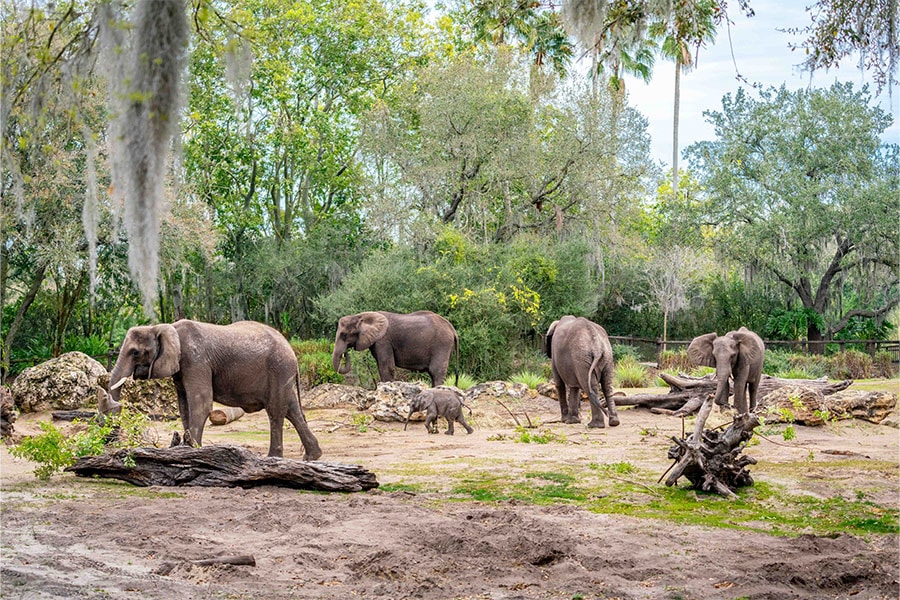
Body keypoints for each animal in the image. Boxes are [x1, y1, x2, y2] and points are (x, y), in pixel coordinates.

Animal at [105, 318, 324, 460]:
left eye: (135, 352)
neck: (163, 327)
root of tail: (292, 351)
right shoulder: (182, 368)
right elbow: (184, 406)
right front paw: (186, 448)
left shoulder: (195, 360)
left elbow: (200, 402)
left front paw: (193, 451)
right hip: (282, 374)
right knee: (292, 410)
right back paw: (312, 457)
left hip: (279, 368)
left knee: (276, 411)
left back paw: (273, 458)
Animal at [330, 312, 458, 386]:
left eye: (343, 335)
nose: (345, 353)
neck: (361, 316)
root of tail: (452, 329)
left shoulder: (383, 340)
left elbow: (387, 367)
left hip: (442, 344)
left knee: (436, 371)